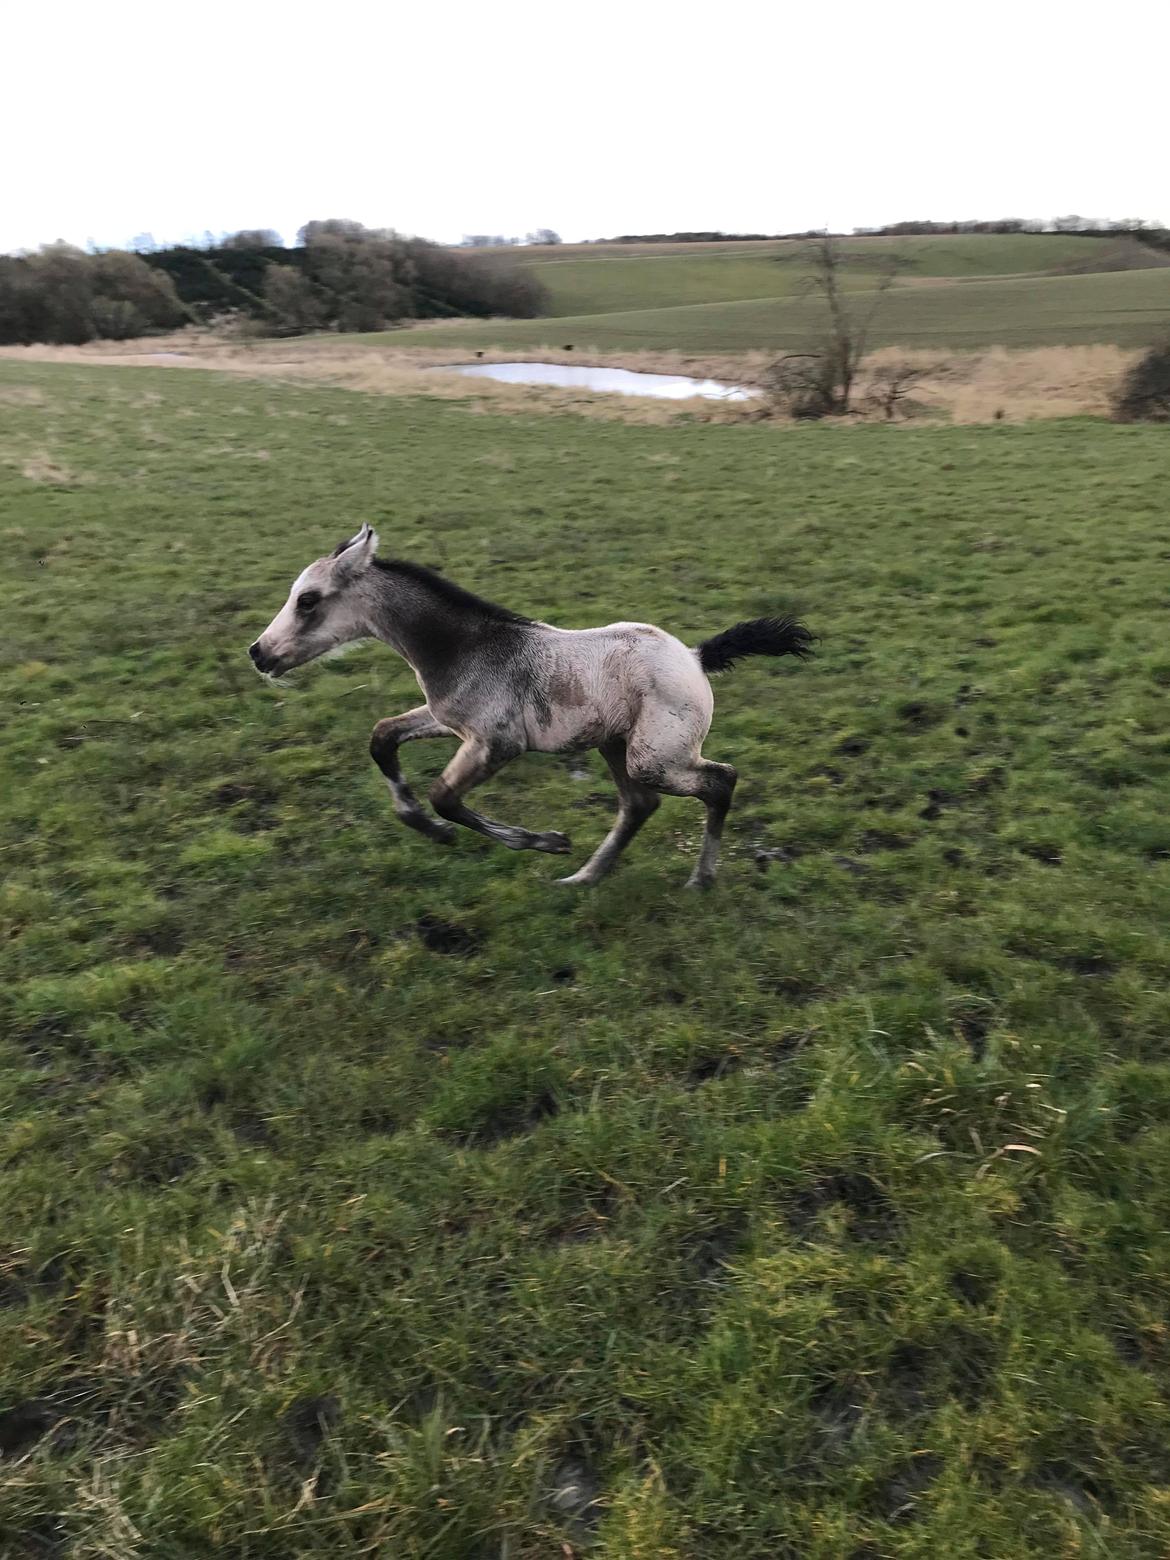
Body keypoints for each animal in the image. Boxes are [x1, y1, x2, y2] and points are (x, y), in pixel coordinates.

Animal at [248, 527, 817, 886]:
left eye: (308, 600)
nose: (258, 652)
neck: (465, 647)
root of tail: (697, 659)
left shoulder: (497, 745)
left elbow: (445, 798)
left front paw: (545, 841)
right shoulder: (448, 722)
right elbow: (383, 738)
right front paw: (428, 829)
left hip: (654, 757)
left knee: (720, 782)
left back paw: (698, 879)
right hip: (615, 746)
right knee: (639, 805)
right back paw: (584, 877)